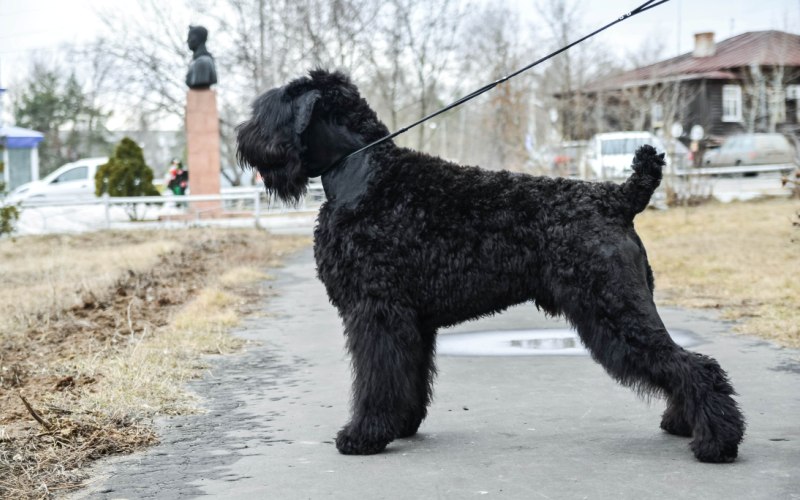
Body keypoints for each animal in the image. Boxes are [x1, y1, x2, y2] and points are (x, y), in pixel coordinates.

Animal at [236, 68, 744, 462]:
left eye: (270, 109)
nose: (243, 138)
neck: (363, 174)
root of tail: (616, 198)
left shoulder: (375, 310)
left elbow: (376, 377)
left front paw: (363, 435)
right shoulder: (410, 320)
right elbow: (408, 376)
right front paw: (401, 425)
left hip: (613, 309)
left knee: (692, 365)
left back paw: (716, 443)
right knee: (681, 362)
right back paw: (684, 423)